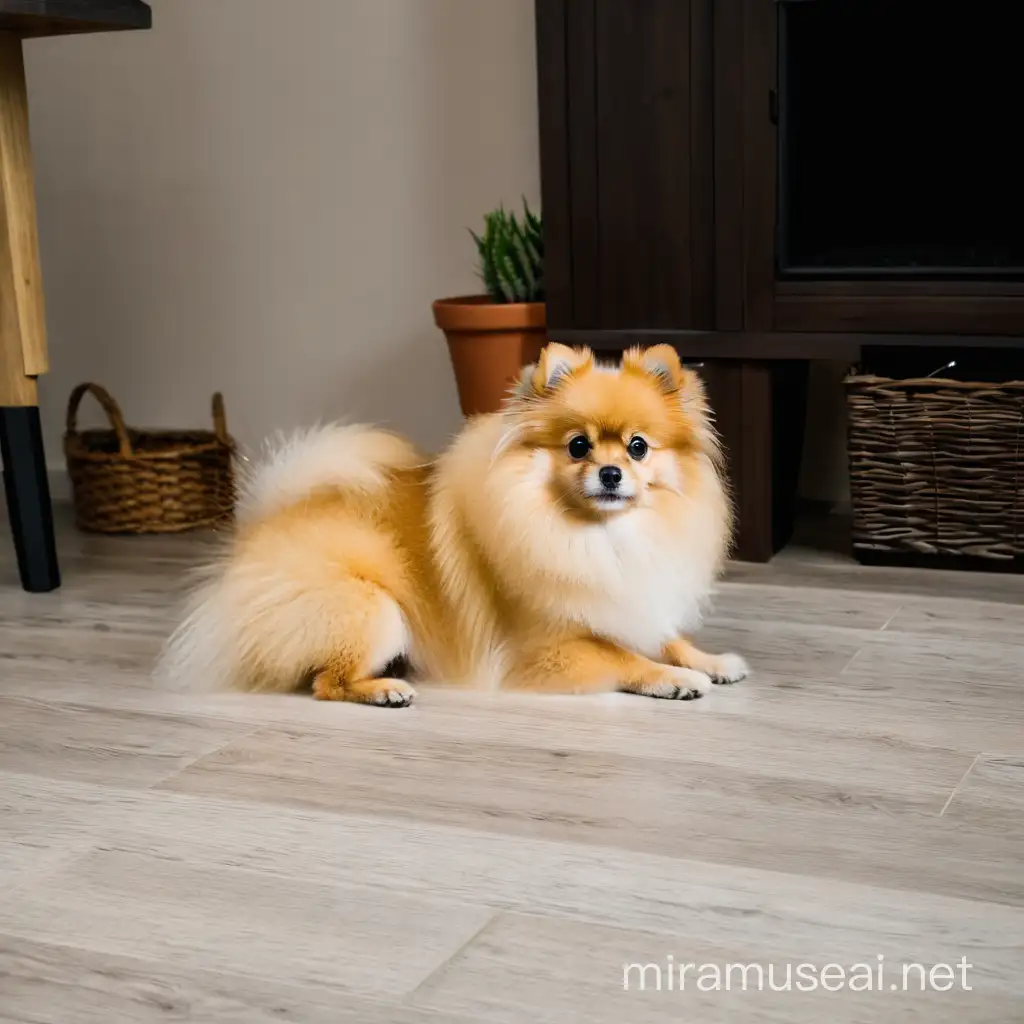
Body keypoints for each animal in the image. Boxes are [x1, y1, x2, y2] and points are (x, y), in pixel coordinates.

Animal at [161, 344, 753, 704]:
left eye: (637, 447)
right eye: (578, 446)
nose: (610, 473)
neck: (598, 538)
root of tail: (261, 522)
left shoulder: (632, 600)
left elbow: (666, 636)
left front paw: (709, 659)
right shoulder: (545, 649)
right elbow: (622, 655)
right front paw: (675, 678)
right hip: (374, 609)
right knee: (326, 682)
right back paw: (383, 690)